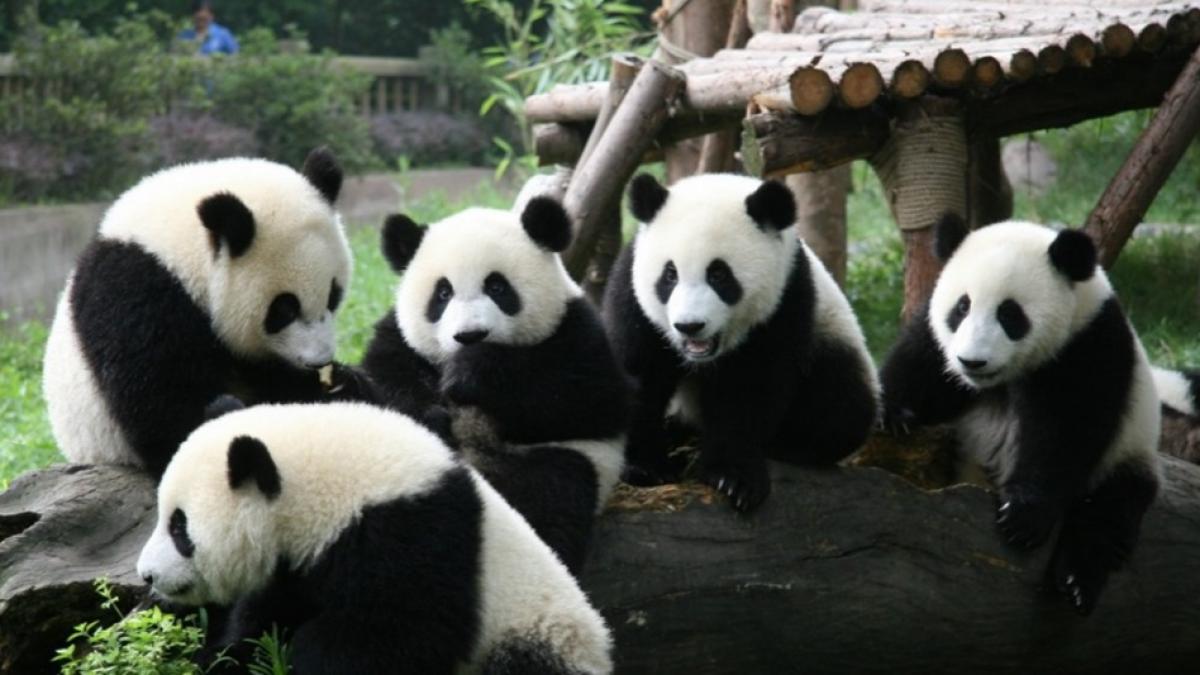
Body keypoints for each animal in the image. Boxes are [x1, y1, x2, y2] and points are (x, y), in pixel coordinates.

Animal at [42, 148, 358, 478]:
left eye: (333, 296)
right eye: (284, 309)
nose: (319, 361)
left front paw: (341, 384)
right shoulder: (137, 296)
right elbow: (160, 407)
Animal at [136, 402, 613, 674]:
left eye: (179, 527)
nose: (146, 575)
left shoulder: (410, 536)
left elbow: (395, 640)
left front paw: (306, 658)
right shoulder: (297, 565)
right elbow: (262, 619)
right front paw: (226, 658)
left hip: (537, 636)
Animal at [356, 195, 630, 575]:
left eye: (497, 287)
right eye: (443, 293)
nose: (470, 335)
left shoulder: (578, 331)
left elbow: (592, 399)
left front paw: (472, 371)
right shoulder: (399, 339)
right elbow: (385, 384)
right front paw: (432, 414)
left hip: (561, 462)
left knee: (550, 498)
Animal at [603, 173, 879, 513]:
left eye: (719, 275)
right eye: (670, 275)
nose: (689, 326)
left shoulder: (786, 297)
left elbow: (751, 387)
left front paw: (732, 478)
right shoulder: (632, 294)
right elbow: (639, 373)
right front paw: (644, 467)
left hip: (832, 337)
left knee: (842, 405)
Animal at [879, 215, 1161, 615]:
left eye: (1009, 314)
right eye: (962, 308)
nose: (971, 362)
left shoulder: (1088, 346)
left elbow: (1066, 433)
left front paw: (1023, 515)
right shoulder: (937, 340)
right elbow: (919, 366)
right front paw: (892, 413)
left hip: (1130, 450)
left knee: (1110, 511)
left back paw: (1077, 580)